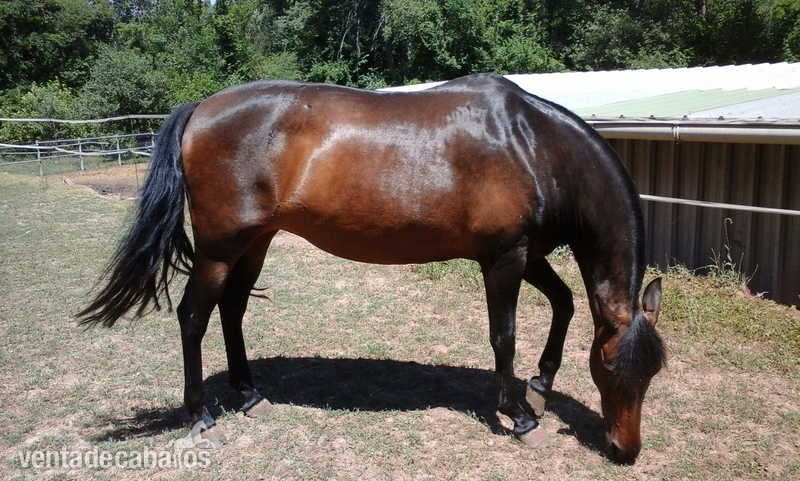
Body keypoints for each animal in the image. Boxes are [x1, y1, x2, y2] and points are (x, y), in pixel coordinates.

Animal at [78, 73, 666, 464]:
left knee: (233, 310)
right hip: (221, 247)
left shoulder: (528, 254)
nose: (625, 450)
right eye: (609, 370)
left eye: (652, 373)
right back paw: (200, 415)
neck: (533, 146)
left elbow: (564, 304)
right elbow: (505, 336)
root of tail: (200, 109)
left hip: (256, 242)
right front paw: (519, 415)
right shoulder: (504, 258)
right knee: (194, 316)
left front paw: (540, 385)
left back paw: (249, 396)